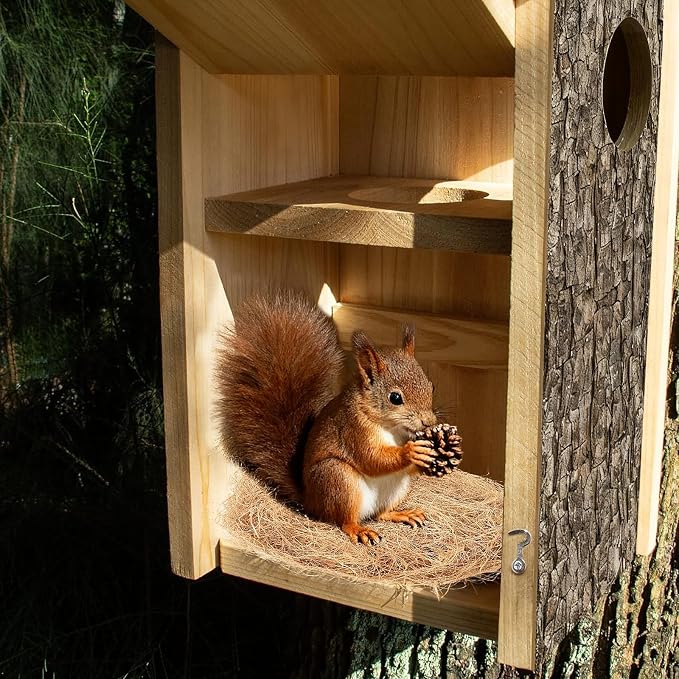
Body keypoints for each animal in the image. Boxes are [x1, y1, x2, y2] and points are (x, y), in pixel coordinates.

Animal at [216, 293, 439, 545]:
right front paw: (411, 451)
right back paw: (358, 529)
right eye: (395, 398)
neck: (394, 428)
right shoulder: (353, 429)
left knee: (380, 514)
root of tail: (310, 500)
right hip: (337, 478)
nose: (429, 422)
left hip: (395, 489)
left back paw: (401, 513)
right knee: (344, 520)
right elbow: (371, 458)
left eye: (431, 385)